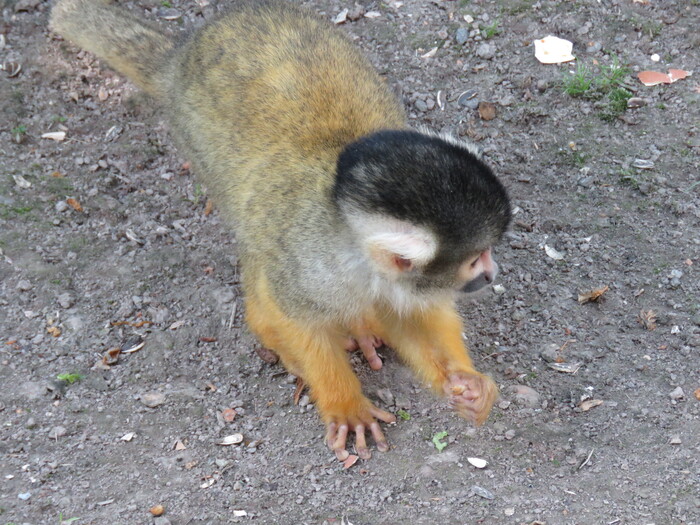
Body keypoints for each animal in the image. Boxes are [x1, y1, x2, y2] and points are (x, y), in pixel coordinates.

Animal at [52, 0, 512, 458]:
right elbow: (297, 320)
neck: (356, 253)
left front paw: (465, 383)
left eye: (488, 254)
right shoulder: (308, 268)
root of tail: (183, 50)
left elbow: (416, 314)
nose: (492, 274)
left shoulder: (405, 283)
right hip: (195, 141)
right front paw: (345, 402)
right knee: (258, 257)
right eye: (476, 259)